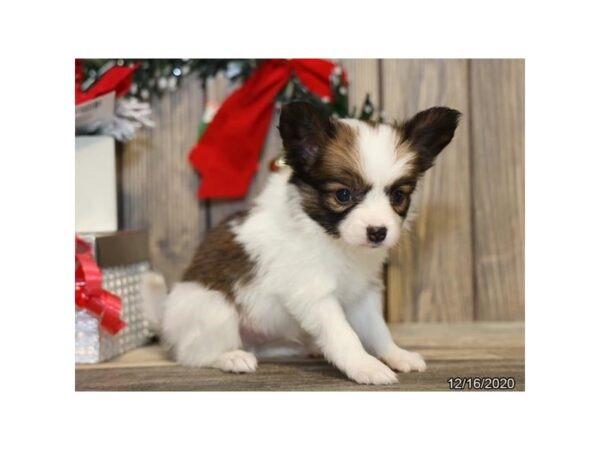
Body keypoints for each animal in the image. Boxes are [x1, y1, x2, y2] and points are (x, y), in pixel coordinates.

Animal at [159, 101, 460, 384]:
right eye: (343, 195)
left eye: (398, 196)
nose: (378, 232)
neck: (333, 239)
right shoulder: (314, 295)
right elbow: (344, 335)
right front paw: (365, 366)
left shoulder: (362, 293)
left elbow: (377, 329)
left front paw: (395, 354)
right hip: (214, 309)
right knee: (193, 354)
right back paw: (230, 357)